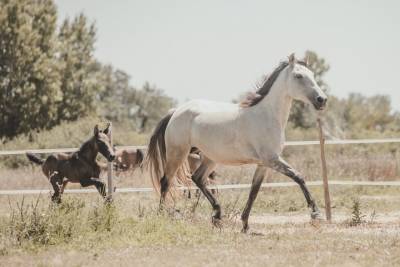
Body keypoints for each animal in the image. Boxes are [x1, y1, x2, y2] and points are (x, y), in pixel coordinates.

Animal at [147, 54, 328, 232]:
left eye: (312, 75)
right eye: (298, 76)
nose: (322, 100)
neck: (267, 115)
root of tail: (175, 111)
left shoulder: (264, 164)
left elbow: (254, 192)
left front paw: (245, 225)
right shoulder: (272, 159)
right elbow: (299, 177)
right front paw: (316, 215)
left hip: (211, 158)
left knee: (197, 178)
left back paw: (217, 216)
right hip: (177, 153)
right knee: (166, 181)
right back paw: (161, 215)